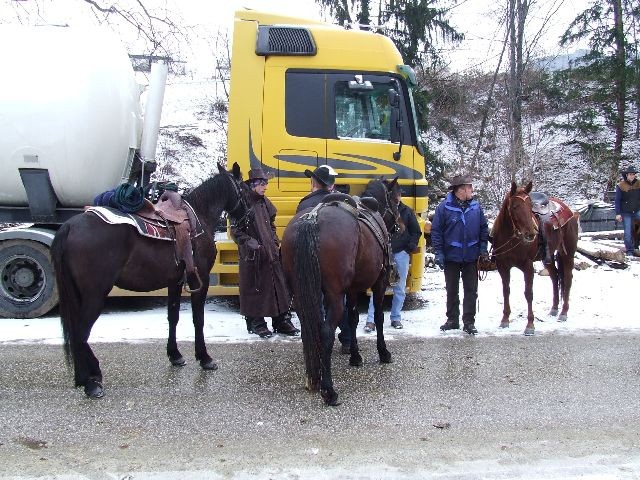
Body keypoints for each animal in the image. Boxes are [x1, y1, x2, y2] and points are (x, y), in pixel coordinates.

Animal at [51, 162, 250, 398]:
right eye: (244, 190)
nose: (248, 218)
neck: (200, 216)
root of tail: (69, 226)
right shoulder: (198, 279)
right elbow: (198, 319)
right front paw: (205, 358)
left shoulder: (175, 281)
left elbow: (173, 317)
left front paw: (175, 355)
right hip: (95, 294)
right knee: (81, 332)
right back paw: (92, 382)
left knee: (75, 332)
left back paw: (84, 378)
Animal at [282, 178, 402, 406]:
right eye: (397, 199)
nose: (401, 226)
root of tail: (312, 220)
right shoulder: (380, 283)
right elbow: (378, 317)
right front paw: (383, 352)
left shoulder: (353, 289)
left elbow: (353, 319)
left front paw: (355, 356)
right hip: (335, 296)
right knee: (326, 331)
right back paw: (328, 390)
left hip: (300, 295)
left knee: (308, 328)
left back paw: (313, 378)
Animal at [490, 182, 580, 336]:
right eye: (515, 206)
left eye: (530, 206)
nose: (531, 233)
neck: (511, 238)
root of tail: (570, 212)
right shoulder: (503, 267)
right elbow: (506, 291)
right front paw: (505, 320)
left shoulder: (527, 266)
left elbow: (528, 293)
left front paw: (530, 325)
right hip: (547, 257)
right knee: (555, 276)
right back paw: (554, 309)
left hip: (567, 254)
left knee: (567, 279)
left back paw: (563, 313)